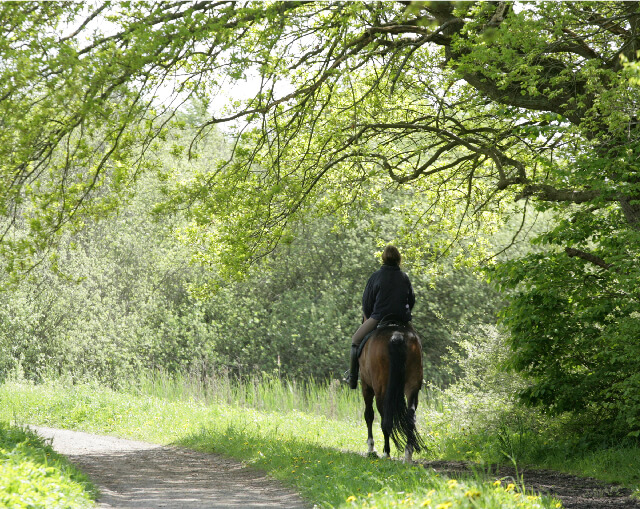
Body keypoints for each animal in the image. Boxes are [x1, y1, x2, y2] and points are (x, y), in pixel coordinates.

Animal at [358, 326, 428, 460]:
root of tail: (397, 335)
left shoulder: (366, 386)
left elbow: (369, 415)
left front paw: (371, 448)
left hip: (380, 390)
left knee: (385, 419)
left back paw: (386, 453)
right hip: (412, 386)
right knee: (410, 416)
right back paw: (408, 453)